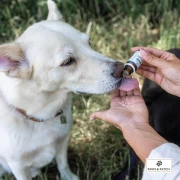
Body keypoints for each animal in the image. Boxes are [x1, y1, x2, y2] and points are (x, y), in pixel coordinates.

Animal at [0, 0, 124, 179]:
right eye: (67, 62)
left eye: (89, 42)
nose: (122, 68)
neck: (39, 116)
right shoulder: (18, 166)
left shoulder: (63, 141)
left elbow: (62, 163)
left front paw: (68, 176)